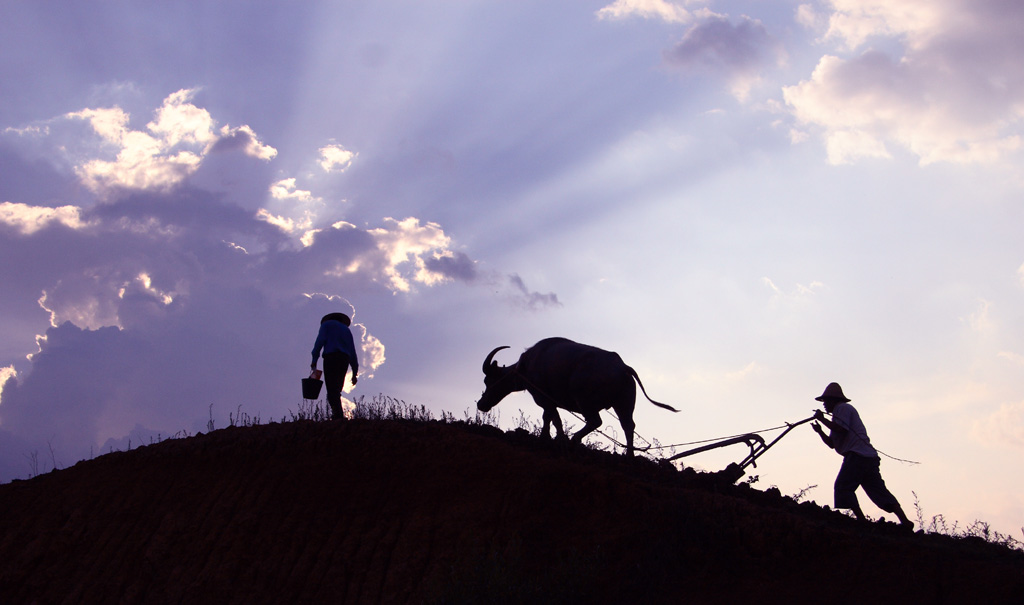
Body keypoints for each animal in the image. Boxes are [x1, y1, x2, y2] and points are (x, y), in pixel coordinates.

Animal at [475, 335, 675, 454]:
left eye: (488, 380)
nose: (480, 404)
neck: (525, 367)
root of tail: (623, 367)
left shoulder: (544, 398)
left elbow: (554, 419)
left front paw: (557, 439)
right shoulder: (547, 401)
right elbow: (548, 418)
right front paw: (545, 437)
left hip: (585, 401)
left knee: (595, 421)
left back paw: (574, 440)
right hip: (624, 404)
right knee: (628, 426)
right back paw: (629, 455)